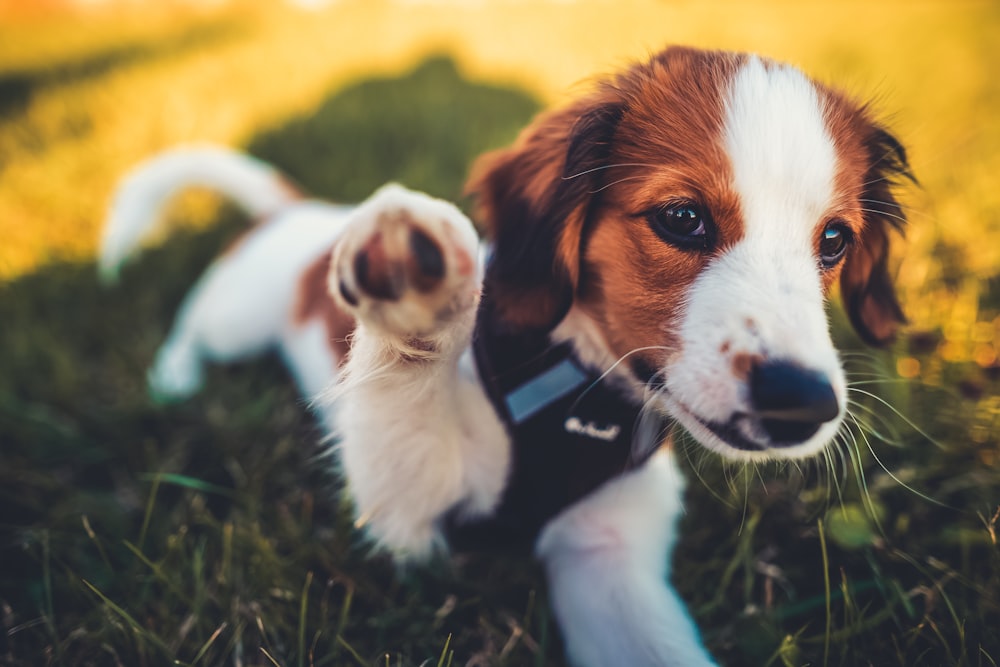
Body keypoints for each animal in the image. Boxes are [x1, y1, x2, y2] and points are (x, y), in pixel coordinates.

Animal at [103, 47, 916, 667]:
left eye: (834, 241)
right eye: (682, 218)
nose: (804, 404)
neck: (576, 397)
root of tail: (299, 210)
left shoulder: (609, 559)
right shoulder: (407, 514)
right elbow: (404, 395)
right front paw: (421, 294)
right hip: (235, 314)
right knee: (191, 324)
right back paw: (172, 378)